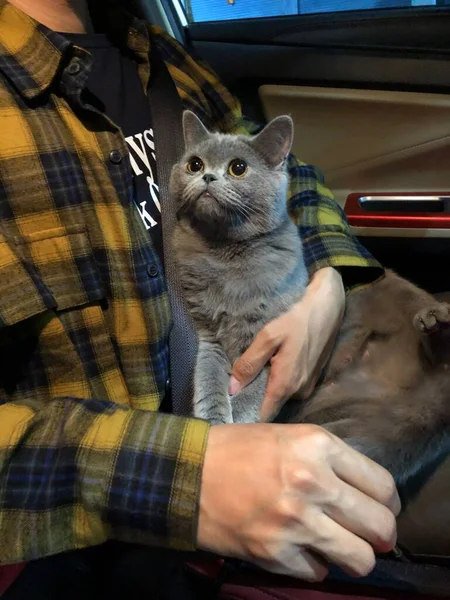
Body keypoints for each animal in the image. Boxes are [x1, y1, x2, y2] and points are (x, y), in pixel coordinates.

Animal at [171, 110, 450, 490]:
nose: (207, 176)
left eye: (238, 167)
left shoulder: (268, 336)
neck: (225, 255)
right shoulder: (209, 334)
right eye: (194, 163)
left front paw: (240, 417)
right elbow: (208, 375)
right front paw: (214, 418)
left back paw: (436, 319)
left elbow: (254, 386)